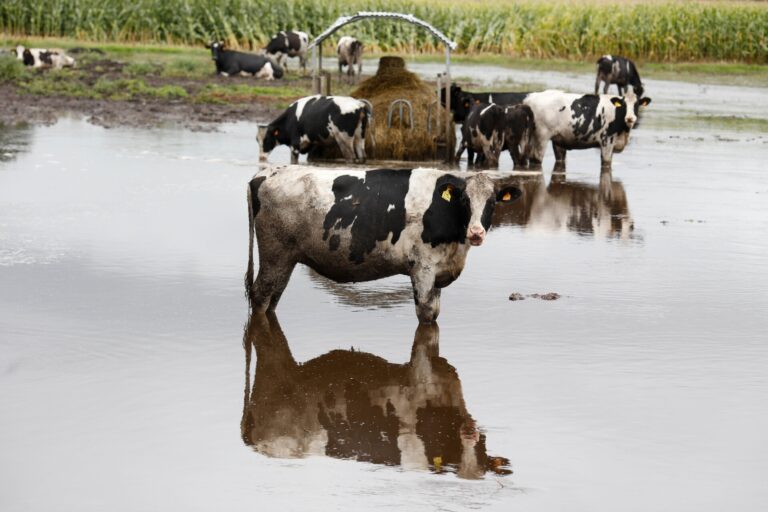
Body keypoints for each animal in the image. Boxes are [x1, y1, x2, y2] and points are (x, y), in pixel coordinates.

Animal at [246, 166, 520, 322]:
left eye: (492, 202)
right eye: (464, 200)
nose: (476, 232)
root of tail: (263, 174)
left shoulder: (439, 270)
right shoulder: (423, 268)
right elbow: (426, 314)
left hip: (286, 259)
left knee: (273, 298)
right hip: (274, 253)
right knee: (260, 295)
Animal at [520, 89, 652, 167]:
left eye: (637, 104)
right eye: (623, 104)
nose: (630, 118)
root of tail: (530, 98)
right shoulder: (606, 142)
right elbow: (606, 164)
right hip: (541, 137)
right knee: (536, 159)